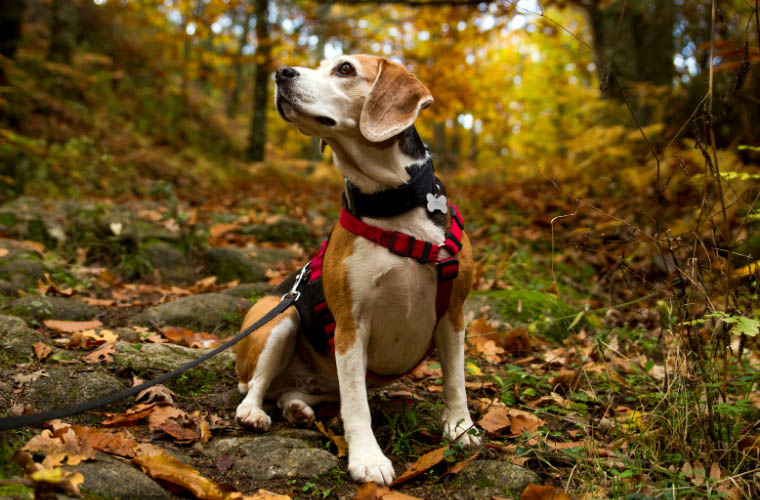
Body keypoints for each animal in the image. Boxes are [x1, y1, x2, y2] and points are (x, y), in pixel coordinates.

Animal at [236, 55, 480, 488]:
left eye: (345, 69)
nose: (281, 72)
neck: (392, 207)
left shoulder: (453, 315)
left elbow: (455, 381)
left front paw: (459, 428)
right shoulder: (351, 327)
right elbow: (357, 405)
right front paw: (367, 458)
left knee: (291, 393)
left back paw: (297, 407)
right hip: (281, 318)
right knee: (256, 386)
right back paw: (253, 412)